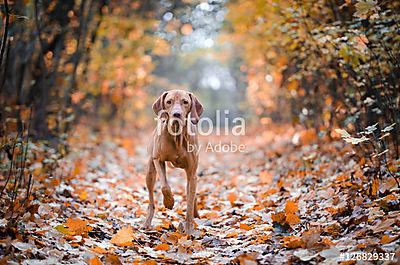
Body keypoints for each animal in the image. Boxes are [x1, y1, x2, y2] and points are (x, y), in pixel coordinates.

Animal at [142, 89, 203, 233]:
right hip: (150, 173)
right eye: (169, 101)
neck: (177, 136)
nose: (176, 114)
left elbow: (189, 204)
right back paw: (147, 223)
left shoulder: (192, 173)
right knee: (151, 201)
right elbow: (165, 186)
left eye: (185, 102)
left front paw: (189, 230)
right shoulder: (158, 159)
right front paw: (169, 202)